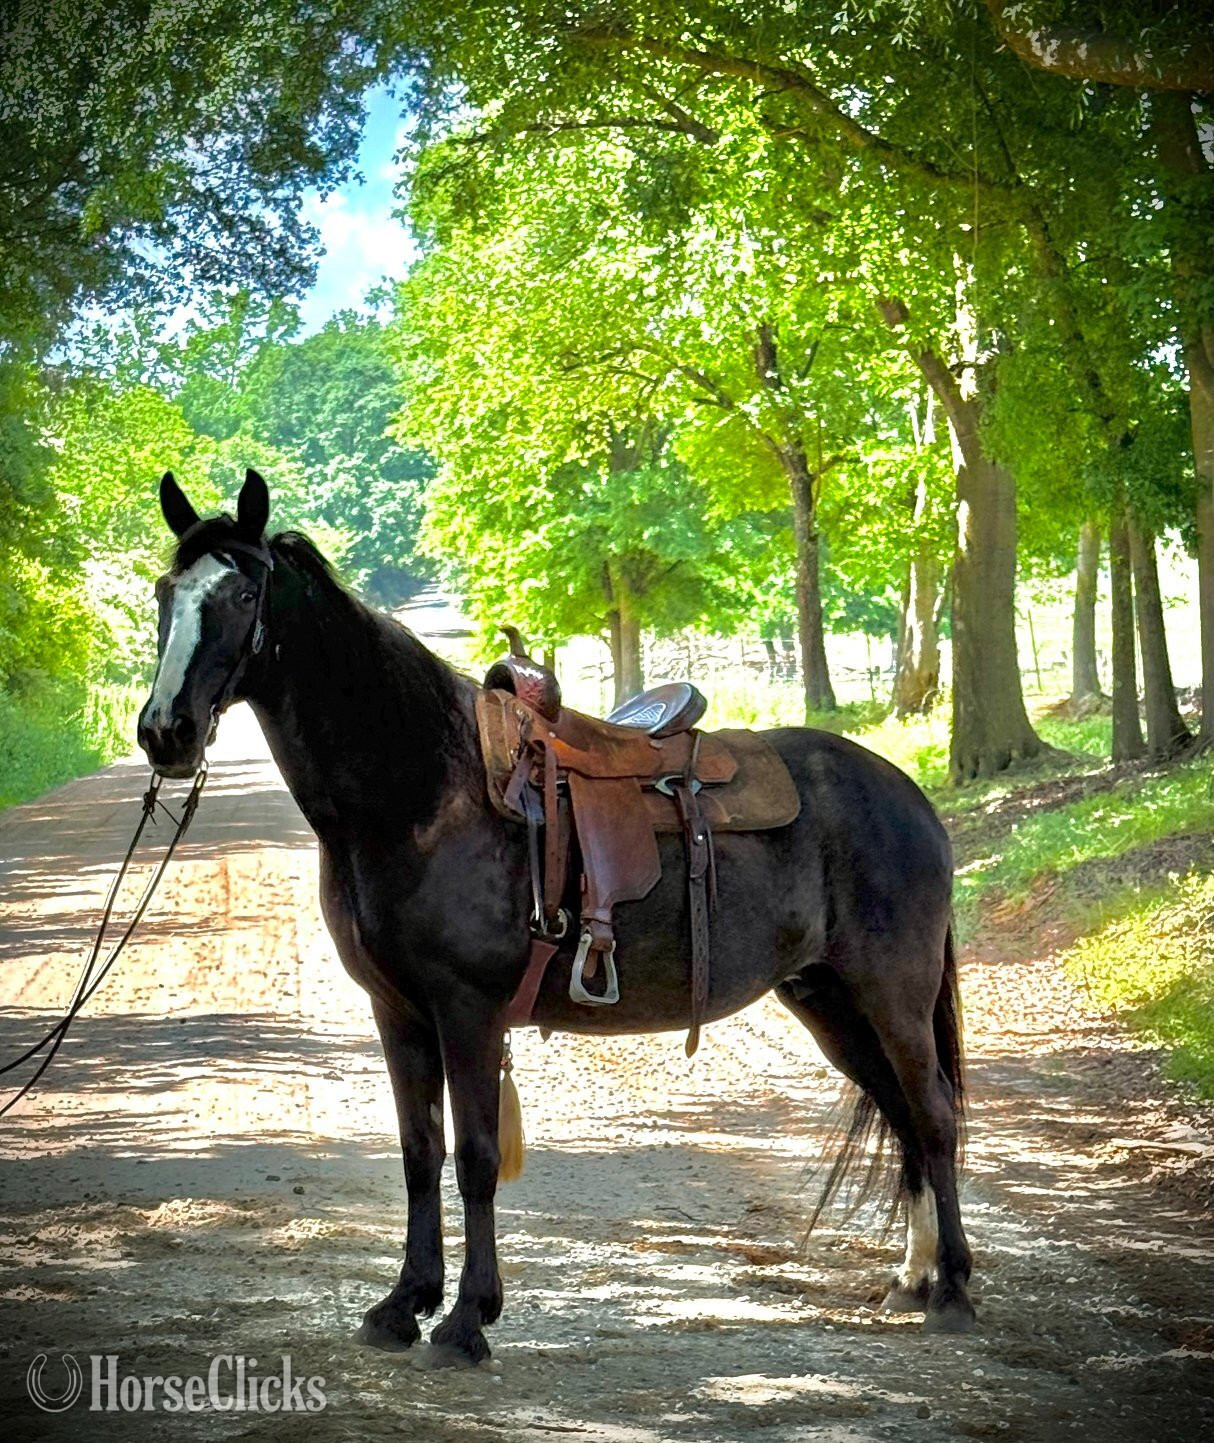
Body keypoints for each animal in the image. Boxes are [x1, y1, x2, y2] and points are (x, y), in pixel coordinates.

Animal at [137, 468, 975, 1365]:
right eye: (164, 592)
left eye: (242, 592)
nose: (164, 731)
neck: (418, 787)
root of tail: (910, 794)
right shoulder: (398, 1012)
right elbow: (419, 1152)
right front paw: (403, 1303)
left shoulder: (466, 1009)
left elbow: (473, 1157)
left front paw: (467, 1319)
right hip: (829, 1000)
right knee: (902, 1113)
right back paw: (912, 1278)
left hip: (891, 994)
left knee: (932, 1113)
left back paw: (953, 1288)